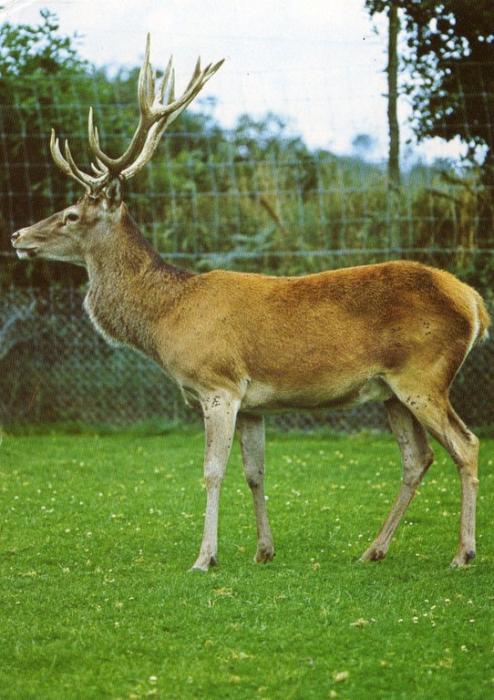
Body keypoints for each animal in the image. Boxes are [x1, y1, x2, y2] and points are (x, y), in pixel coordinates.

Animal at [11, 36, 490, 572]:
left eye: (72, 214)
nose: (18, 236)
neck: (166, 319)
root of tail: (474, 303)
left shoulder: (217, 384)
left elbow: (212, 471)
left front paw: (204, 558)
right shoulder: (254, 402)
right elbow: (254, 472)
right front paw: (264, 550)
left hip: (424, 376)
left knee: (467, 445)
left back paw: (463, 553)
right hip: (391, 389)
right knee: (417, 458)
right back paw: (373, 549)